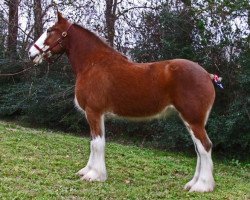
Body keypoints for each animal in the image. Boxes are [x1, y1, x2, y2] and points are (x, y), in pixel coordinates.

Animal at [28, 12, 217, 192]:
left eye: (50, 30)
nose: (31, 53)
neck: (93, 63)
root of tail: (207, 75)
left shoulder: (93, 112)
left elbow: (97, 144)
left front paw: (94, 176)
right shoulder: (96, 115)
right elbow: (93, 142)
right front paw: (87, 171)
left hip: (193, 120)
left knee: (204, 147)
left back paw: (202, 186)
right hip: (190, 120)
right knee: (199, 150)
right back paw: (192, 184)